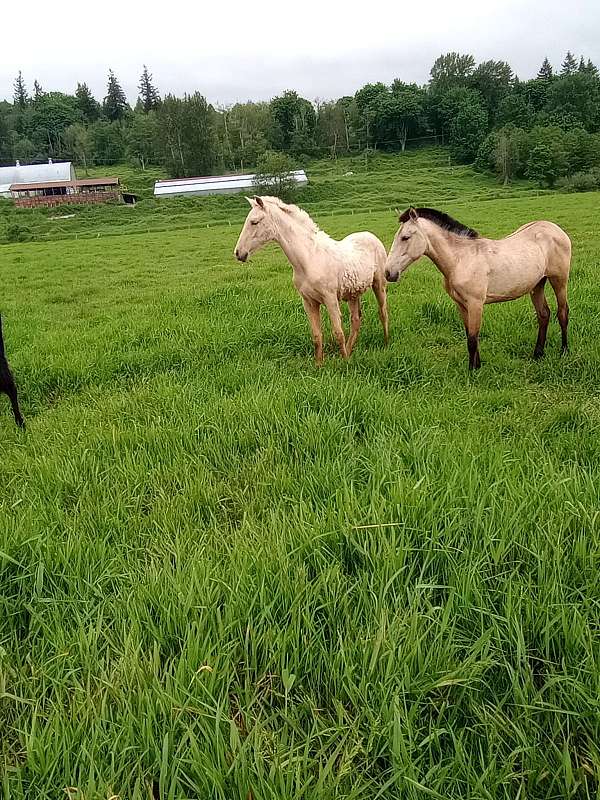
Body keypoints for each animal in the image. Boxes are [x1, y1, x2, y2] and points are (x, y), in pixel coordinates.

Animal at [234, 197, 390, 366]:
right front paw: (319, 364)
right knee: (356, 321)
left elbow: (338, 332)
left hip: (379, 285)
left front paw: (344, 363)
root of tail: (371, 236)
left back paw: (385, 343)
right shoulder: (309, 302)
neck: (309, 258)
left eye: (254, 222)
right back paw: (349, 352)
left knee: (383, 313)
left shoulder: (330, 299)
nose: (239, 253)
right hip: (353, 293)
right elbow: (316, 335)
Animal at [384, 206, 572, 368]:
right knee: (544, 315)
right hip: (537, 284)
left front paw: (472, 372)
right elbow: (469, 334)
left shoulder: (476, 304)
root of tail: (556, 229)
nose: (388, 272)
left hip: (559, 280)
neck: (461, 259)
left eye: (405, 237)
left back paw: (564, 351)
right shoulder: (461, 304)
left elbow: (473, 339)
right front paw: (477, 365)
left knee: (562, 313)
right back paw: (538, 354)